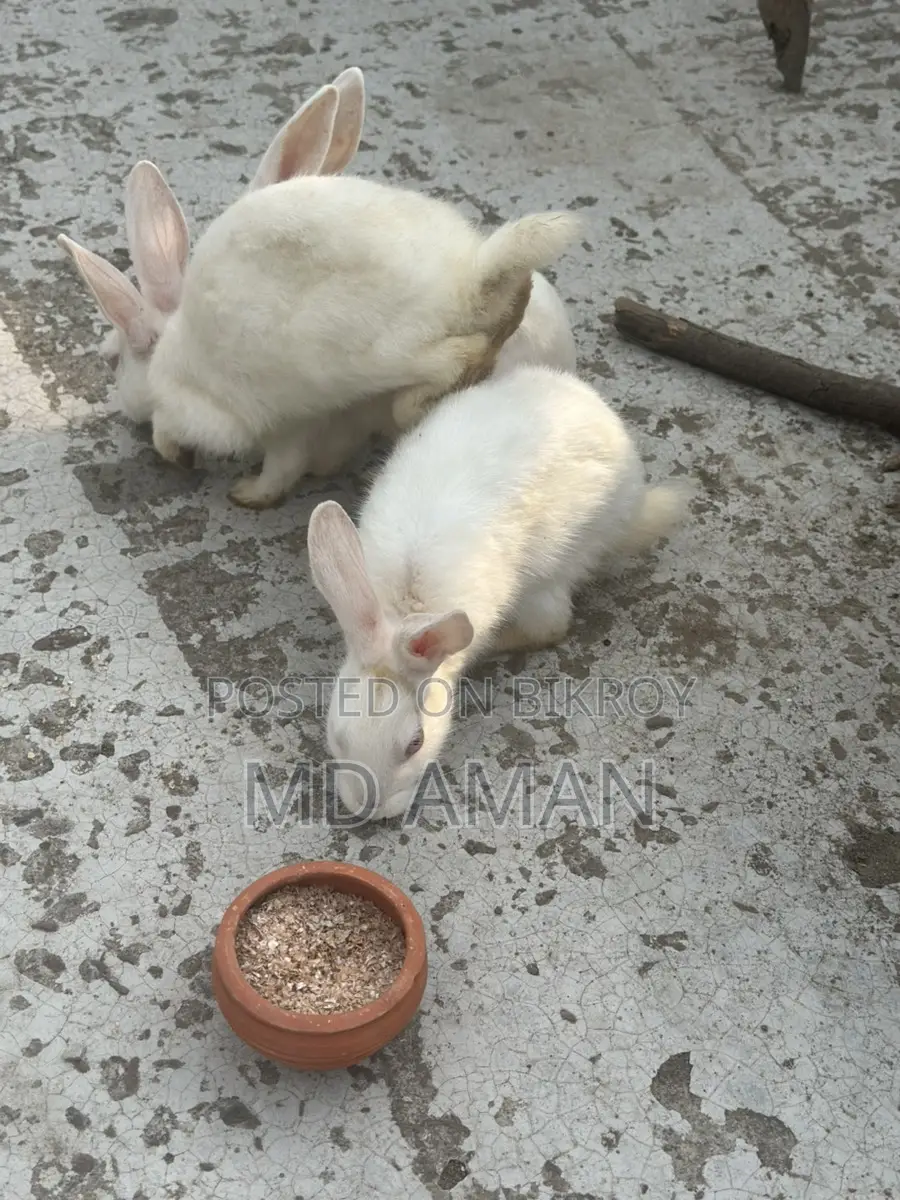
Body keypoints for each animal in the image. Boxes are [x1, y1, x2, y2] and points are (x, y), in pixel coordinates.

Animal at [306, 364, 691, 821]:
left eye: (415, 744)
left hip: (553, 573)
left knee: (552, 626)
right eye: (338, 734)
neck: (405, 609)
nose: (369, 810)